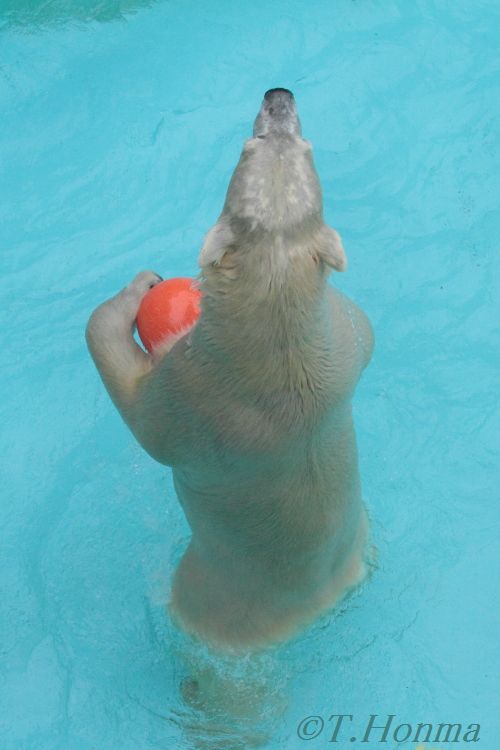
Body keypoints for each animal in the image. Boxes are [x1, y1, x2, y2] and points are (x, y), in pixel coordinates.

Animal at [86, 88, 374, 656]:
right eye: (293, 142)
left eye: (249, 144)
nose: (279, 96)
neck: (280, 334)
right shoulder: (344, 333)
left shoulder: (194, 393)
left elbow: (138, 406)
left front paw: (140, 290)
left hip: (207, 591)